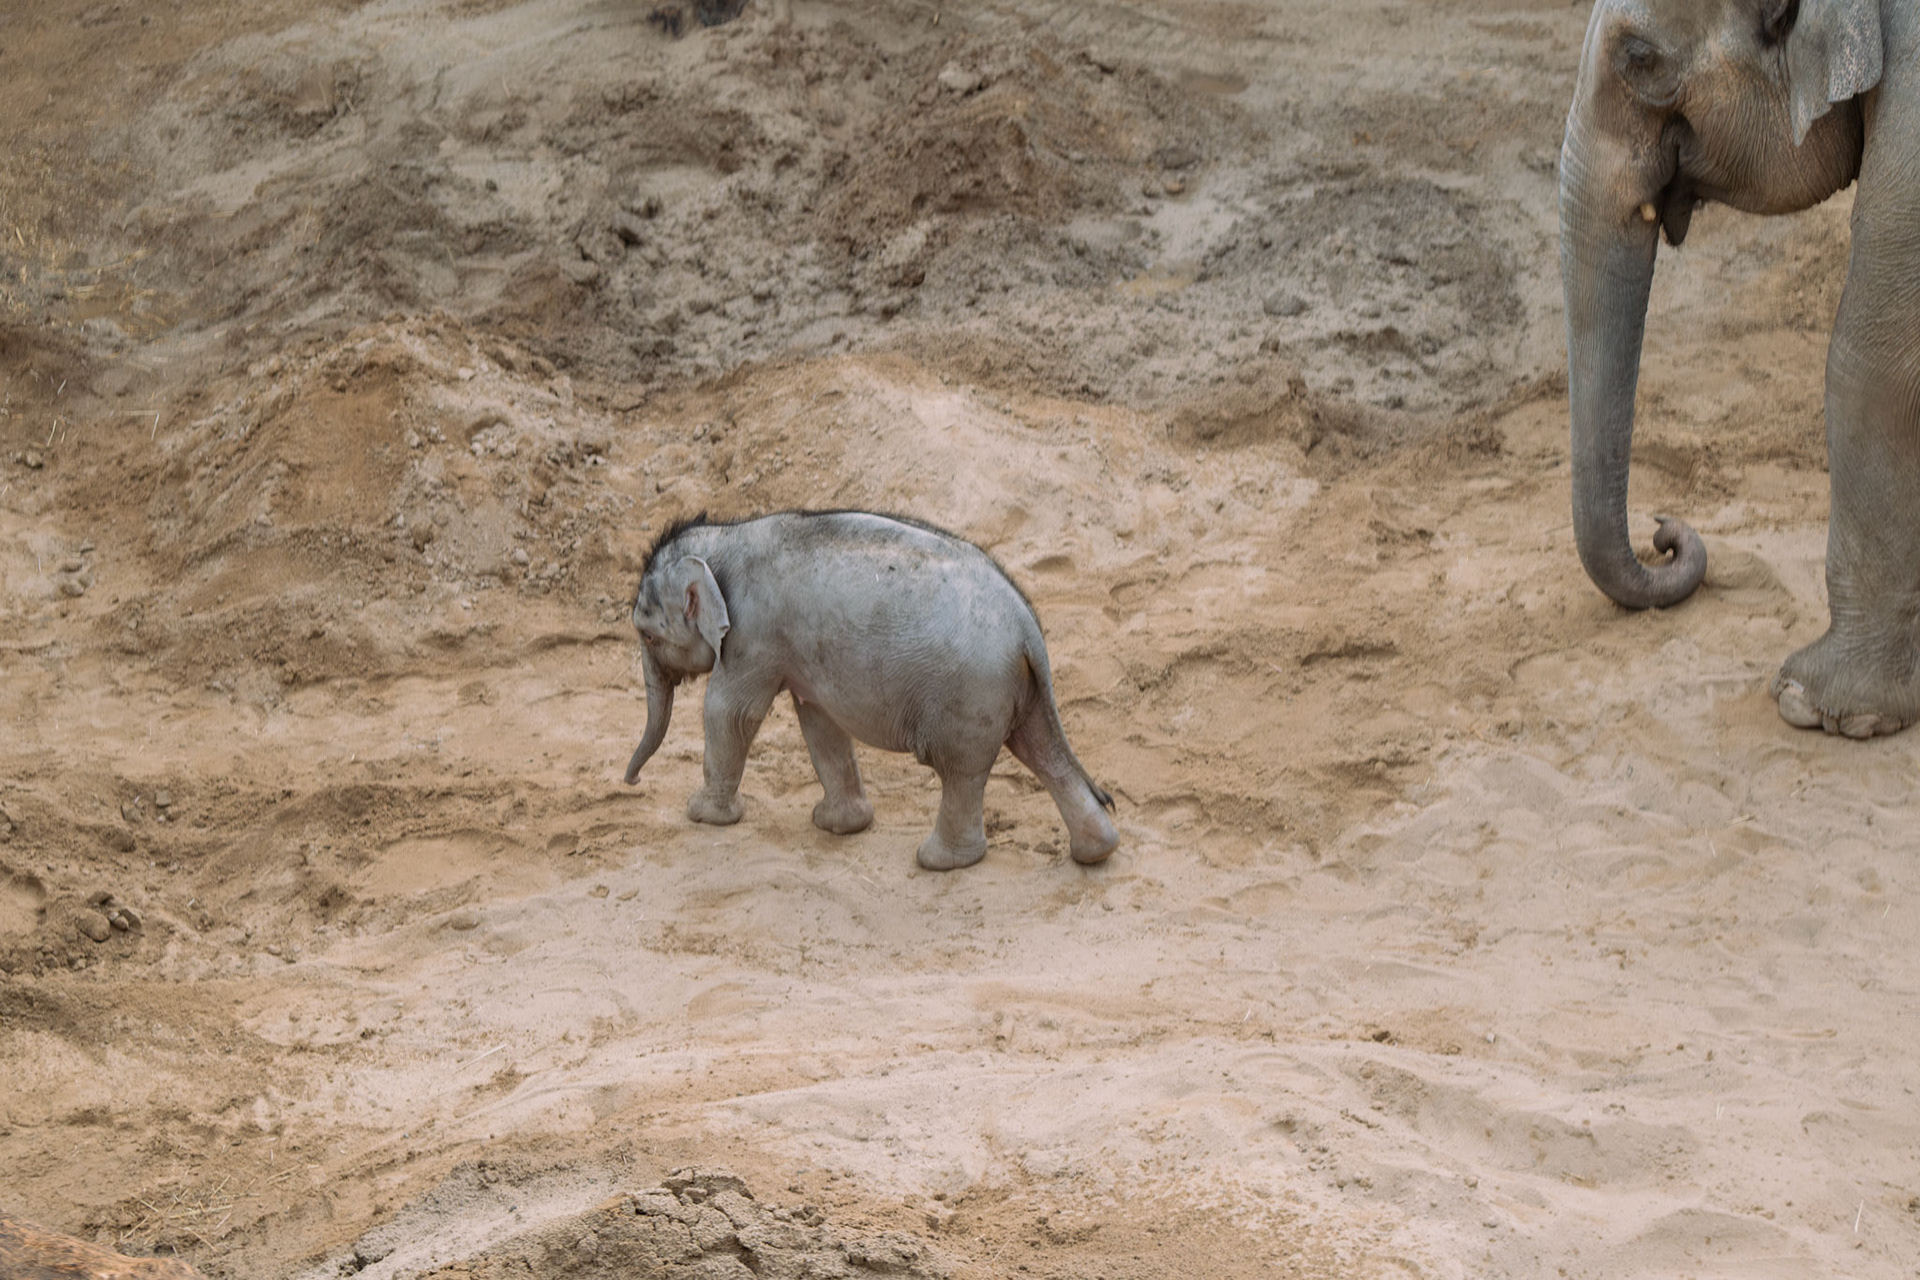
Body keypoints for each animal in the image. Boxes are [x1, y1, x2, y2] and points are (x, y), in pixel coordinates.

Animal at [622, 510, 1120, 871]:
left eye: (647, 635)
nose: (632, 782)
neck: (726, 537)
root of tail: (1028, 626)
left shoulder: (754, 635)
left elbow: (729, 712)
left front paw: (702, 815)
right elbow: (819, 719)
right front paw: (837, 825)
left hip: (969, 695)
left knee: (960, 770)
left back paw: (939, 862)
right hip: (1014, 688)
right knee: (1039, 750)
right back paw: (1096, 851)